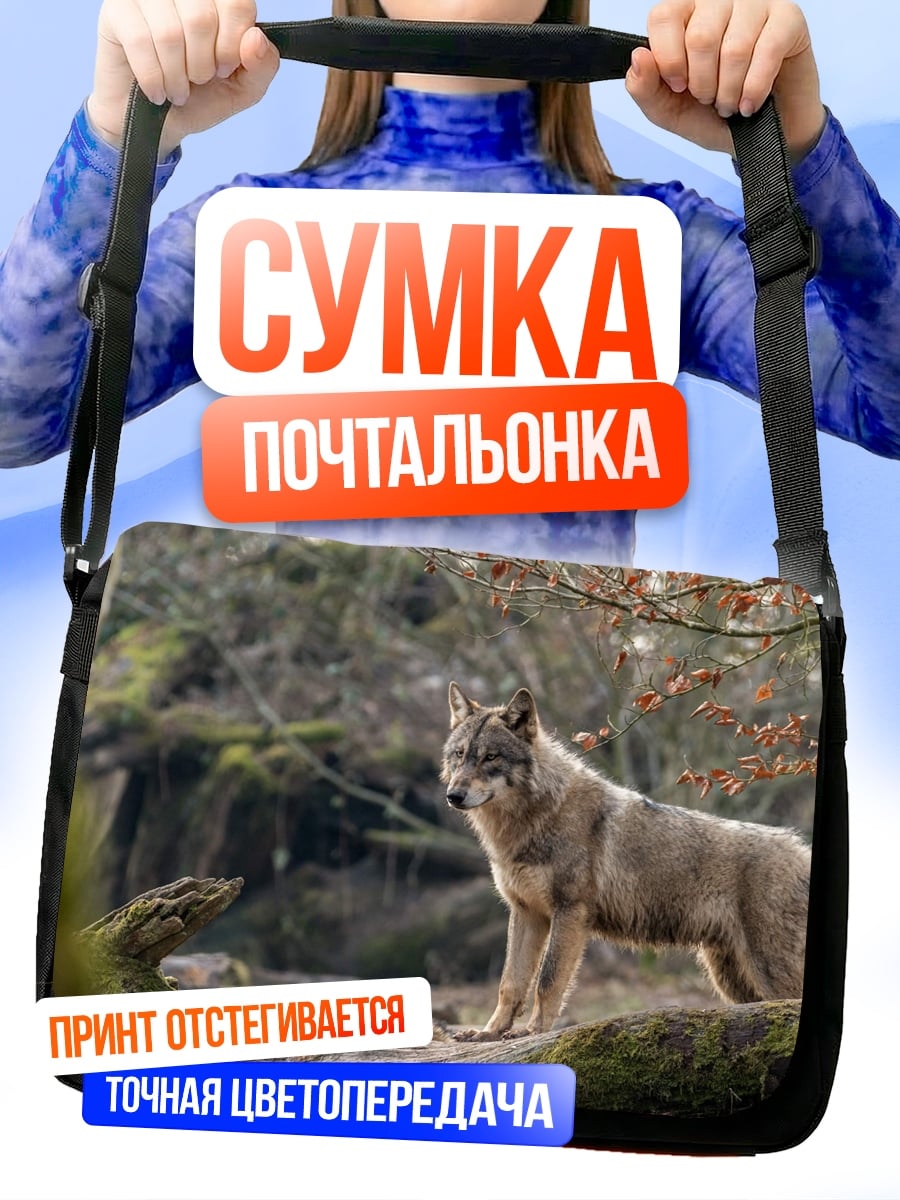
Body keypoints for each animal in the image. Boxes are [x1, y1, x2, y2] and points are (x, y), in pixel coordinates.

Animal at [441, 682, 811, 1039]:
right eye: (460, 754)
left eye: (490, 756)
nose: (453, 796)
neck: (534, 818)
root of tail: (802, 851)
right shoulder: (526, 913)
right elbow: (510, 983)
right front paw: (488, 1033)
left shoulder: (570, 912)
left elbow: (548, 980)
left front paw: (532, 1031)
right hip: (732, 980)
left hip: (766, 972)